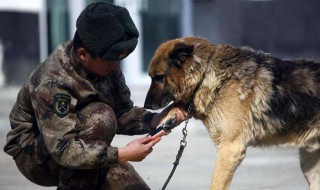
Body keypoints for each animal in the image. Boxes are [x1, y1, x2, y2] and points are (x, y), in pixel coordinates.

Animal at [144, 36, 320, 189]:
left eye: (159, 77)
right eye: (151, 77)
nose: (146, 105)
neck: (207, 73)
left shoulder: (229, 149)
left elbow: (215, 185)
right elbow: (176, 104)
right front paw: (168, 117)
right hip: (309, 163)